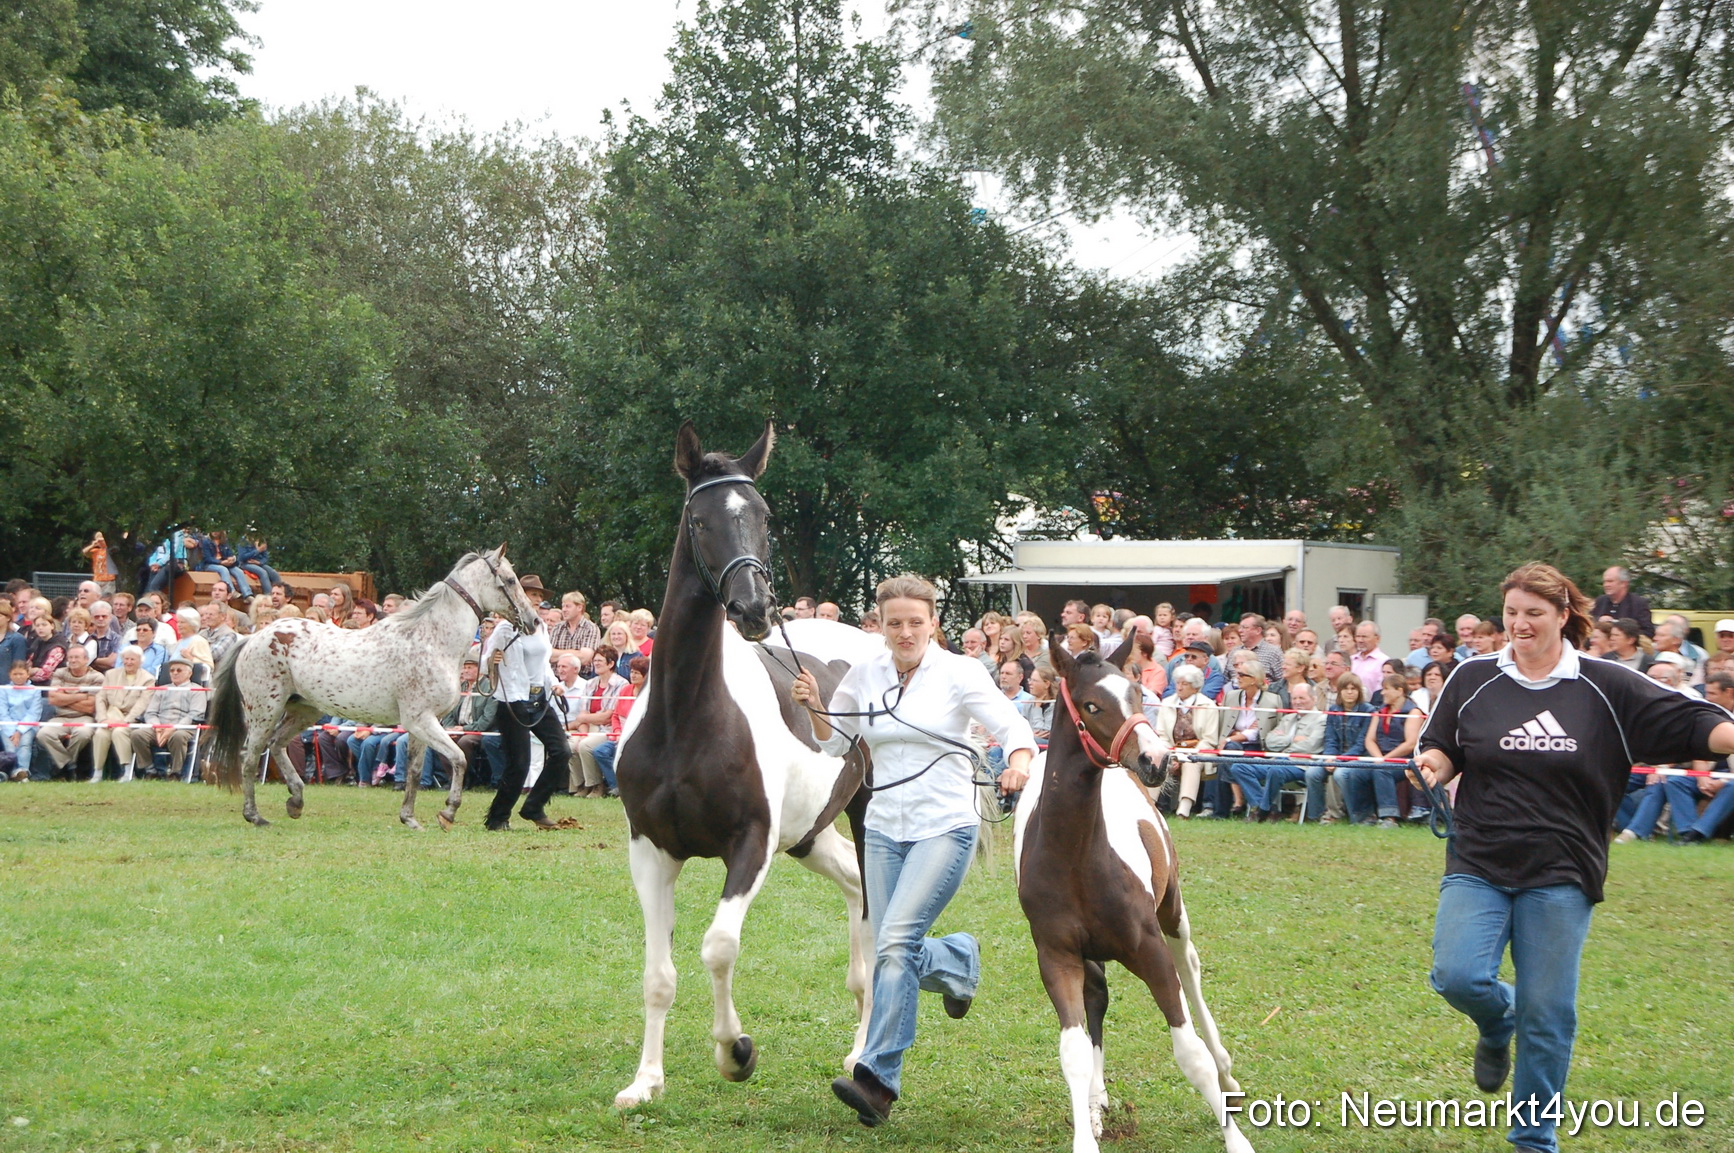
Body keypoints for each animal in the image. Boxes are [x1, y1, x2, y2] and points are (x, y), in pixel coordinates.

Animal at [207, 547, 541, 830]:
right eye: (509, 580)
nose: (534, 621)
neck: (431, 640)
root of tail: (253, 637)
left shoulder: (423, 723)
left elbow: (415, 770)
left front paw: (410, 819)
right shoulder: (421, 720)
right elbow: (459, 759)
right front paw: (448, 813)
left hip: (304, 710)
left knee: (276, 746)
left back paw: (296, 802)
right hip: (265, 711)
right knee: (251, 755)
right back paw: (255, 815)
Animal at [612, 421, 873, 1109]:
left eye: (762, 515)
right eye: (699, 519)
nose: (754, 610)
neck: (686, 715)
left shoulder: (750, 844)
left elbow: (718, 947)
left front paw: (735, 1053)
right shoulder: (650, 850)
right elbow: (658, 973)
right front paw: (645, 1082)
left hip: (866, 821)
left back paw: (865, 1052)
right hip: (808, 836)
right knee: (855, 887)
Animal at [1014, 635, 1254, 1153]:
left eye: (1137, 694)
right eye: (1091, 704)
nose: (1156, 759)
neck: (1076, 857)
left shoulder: (1149, 947)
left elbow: (1190, 1052)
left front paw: (1236, 1140)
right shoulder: (1057, 955)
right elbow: (1074, 1051)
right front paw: (1087, 1128)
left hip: (1173, 913)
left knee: (1191, 973)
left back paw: (1227, 1074)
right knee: (1098, 1000)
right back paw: (1096, 1102)